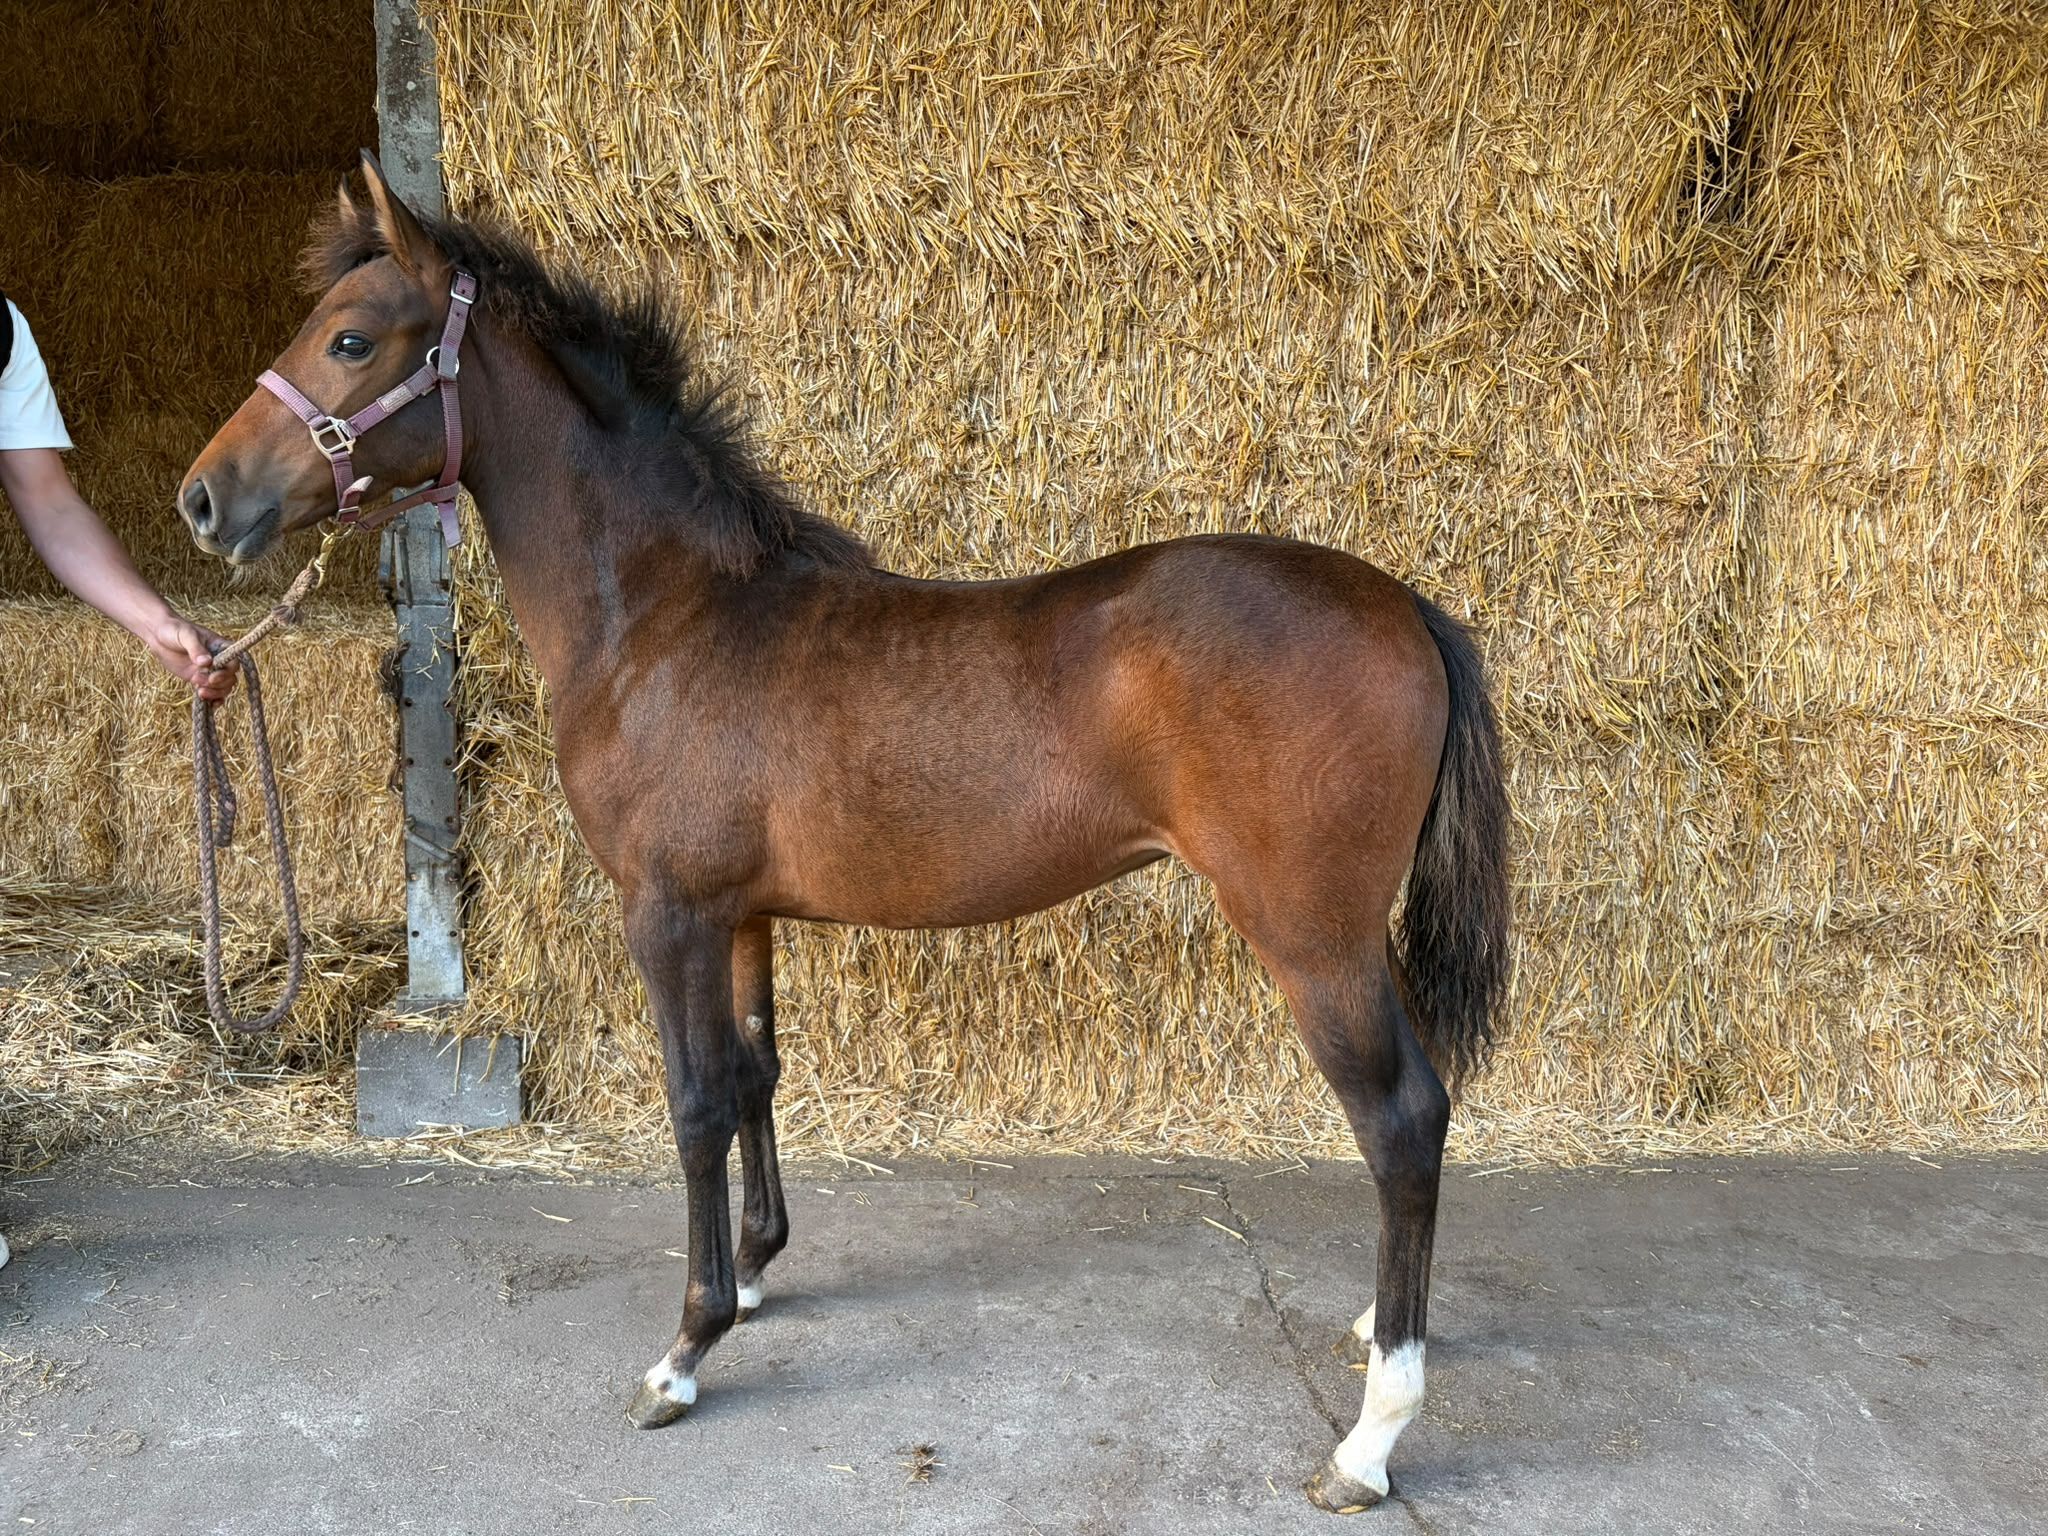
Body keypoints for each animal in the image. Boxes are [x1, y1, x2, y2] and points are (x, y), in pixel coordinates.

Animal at [178, 153, 1511, 1513]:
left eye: (350, 338)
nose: (204, 500)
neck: (667, 617)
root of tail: (1403, 606)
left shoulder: (666, 913)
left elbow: (694, 1102)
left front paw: (685, 1348)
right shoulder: (744, 916)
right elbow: (755, 1074)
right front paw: (758, 1269)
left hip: (1308, 938)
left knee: (1399, 1119)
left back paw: (1369, 1438)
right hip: (1350, 937)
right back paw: (1375, 1327)